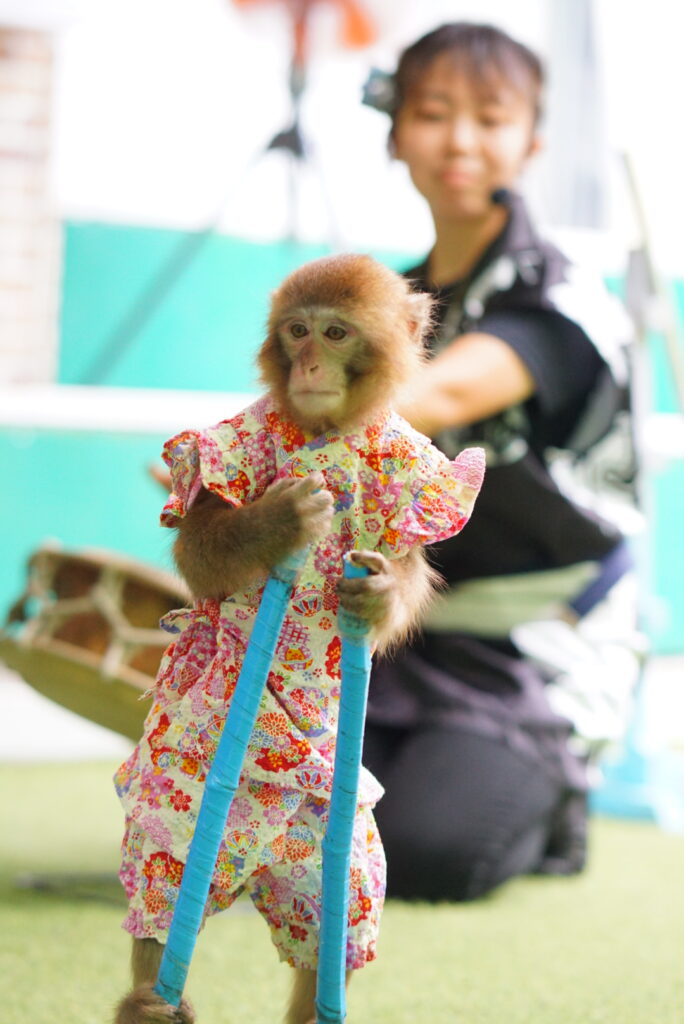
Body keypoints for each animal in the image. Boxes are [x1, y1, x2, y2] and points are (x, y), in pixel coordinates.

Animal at [113, 253, 485, 1024]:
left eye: (336, 333)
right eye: (297, 331)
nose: (310, 360)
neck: (336, 428)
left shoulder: (419, 471)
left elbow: (403, 567)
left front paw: (376, 594)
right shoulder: (234, 438)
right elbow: (202, 547)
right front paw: (278, 523)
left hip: (320, 833)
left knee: (339, 914)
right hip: (194, 798)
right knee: (169, 881)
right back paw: (152, 999)